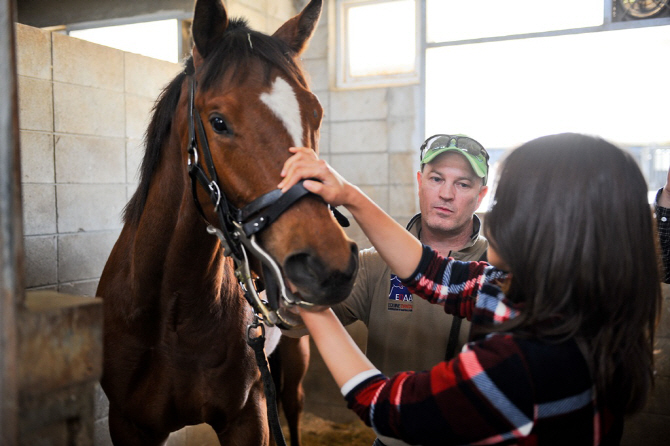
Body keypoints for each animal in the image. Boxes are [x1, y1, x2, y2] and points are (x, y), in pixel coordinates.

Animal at [96, 0, 360, 442]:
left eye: (316, 114)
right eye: (218, 121)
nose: (328, 267)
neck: (171, 313)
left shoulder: (247, 416)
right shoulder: (129, 423)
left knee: (293, 407)